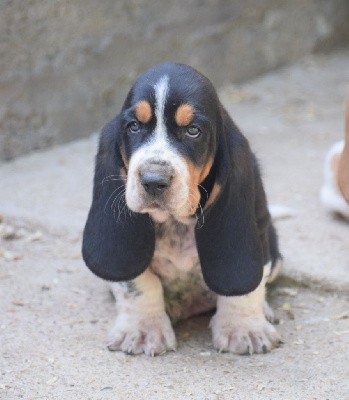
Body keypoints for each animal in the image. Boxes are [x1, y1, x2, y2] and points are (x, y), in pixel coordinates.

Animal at [82, 62, 282, 356]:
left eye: (193, 131)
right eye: (133, 127)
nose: (153, 181)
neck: (175, 222)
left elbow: (247, 289)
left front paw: (244, 328)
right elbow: (138, 283)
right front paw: (142, 329)